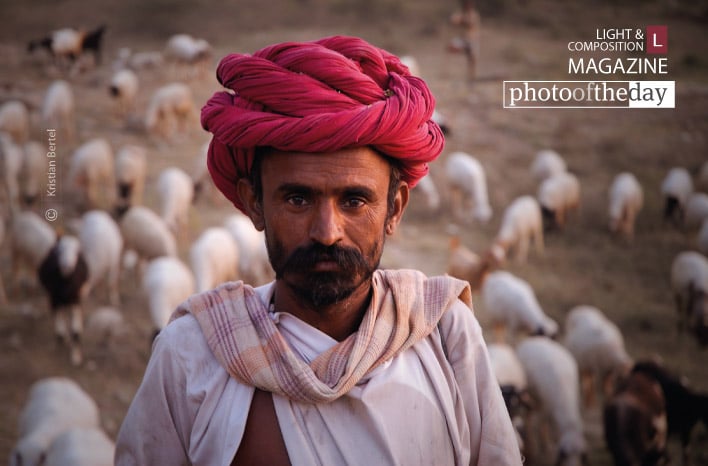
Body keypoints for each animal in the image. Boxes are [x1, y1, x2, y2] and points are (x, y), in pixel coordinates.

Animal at [516, 336, 588, 466]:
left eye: (581, 455)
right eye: (564, 454)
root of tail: (534, 339)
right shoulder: (547, 407)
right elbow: (544, 422)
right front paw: (546, 445)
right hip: (529, 392)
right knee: (529, 416)